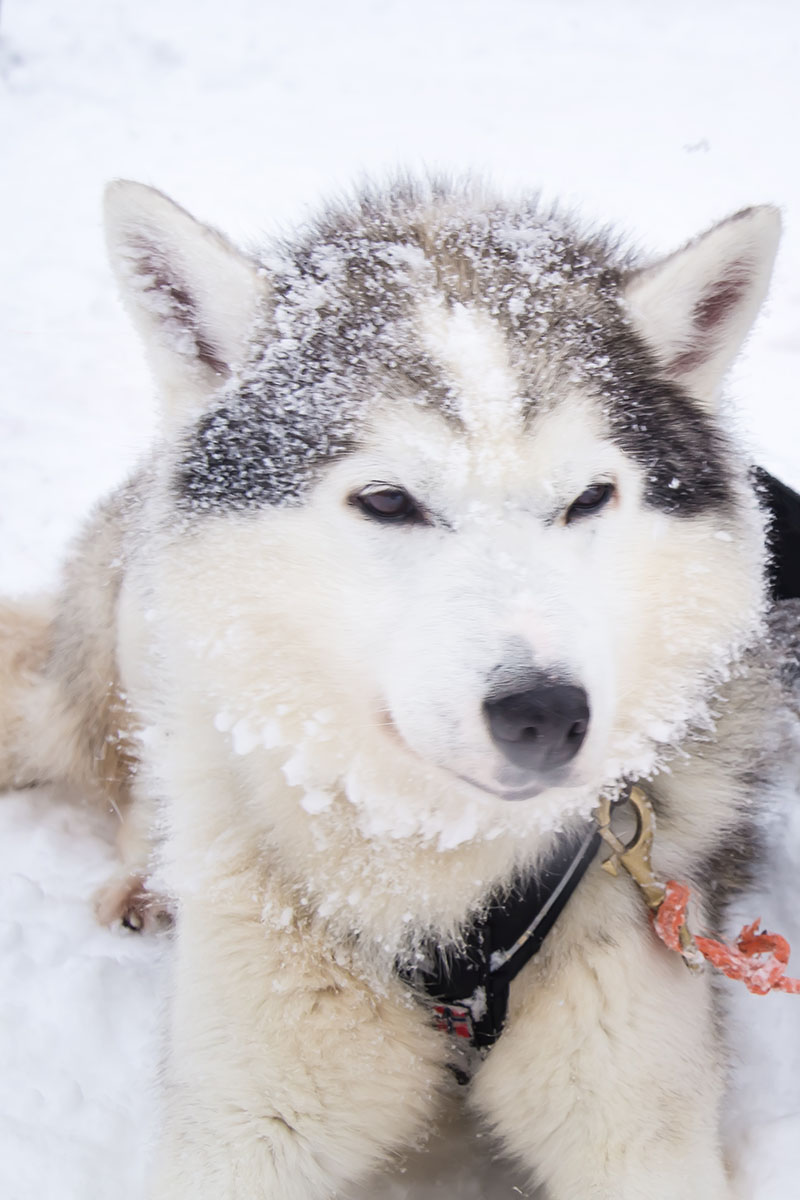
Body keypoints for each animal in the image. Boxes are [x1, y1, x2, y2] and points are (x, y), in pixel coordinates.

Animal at [3, 180, 796, 1200]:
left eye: (588, 499)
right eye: (387, 501)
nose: (548, 713)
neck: (440, 883)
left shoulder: (637, 1116)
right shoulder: (238, 1126)